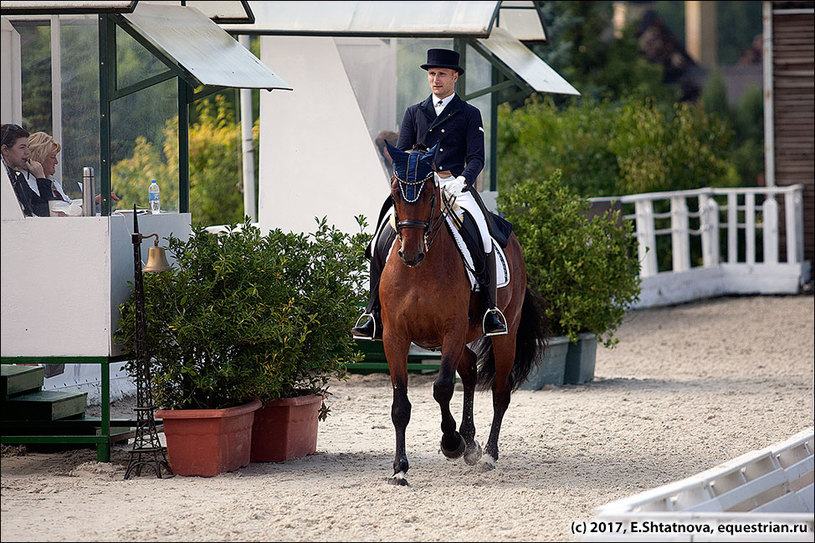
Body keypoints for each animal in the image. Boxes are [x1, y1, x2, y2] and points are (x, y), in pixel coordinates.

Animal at [378, 142, 544, 486]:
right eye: (395, 193)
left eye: (431, 193)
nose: (410, 253)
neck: (419, 271)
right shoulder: (394, 337)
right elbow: (400, 405)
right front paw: (400, 468)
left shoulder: (451, 331)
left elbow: (442, 387)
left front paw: (451, 442)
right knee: (469, 369)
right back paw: (470, 440)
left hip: (504, 334)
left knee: (500, 391)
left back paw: (488, 454)